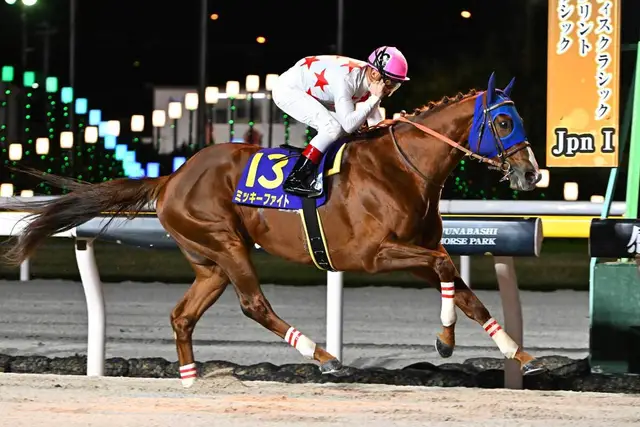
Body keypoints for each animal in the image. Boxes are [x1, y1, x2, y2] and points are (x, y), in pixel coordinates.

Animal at [3, 72, 544, 388]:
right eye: (503, 123)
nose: (532, 174)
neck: (400, 168)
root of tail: (172, 177)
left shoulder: (415, 250)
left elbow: (466, 292)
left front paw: (519, 353)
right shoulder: (374, 254)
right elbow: (447, 266)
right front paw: (445, 340)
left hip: (210, 263)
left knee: (182, 315)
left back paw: (191, 378)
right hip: (226, 243)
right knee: (253, 304)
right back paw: (321, 353)